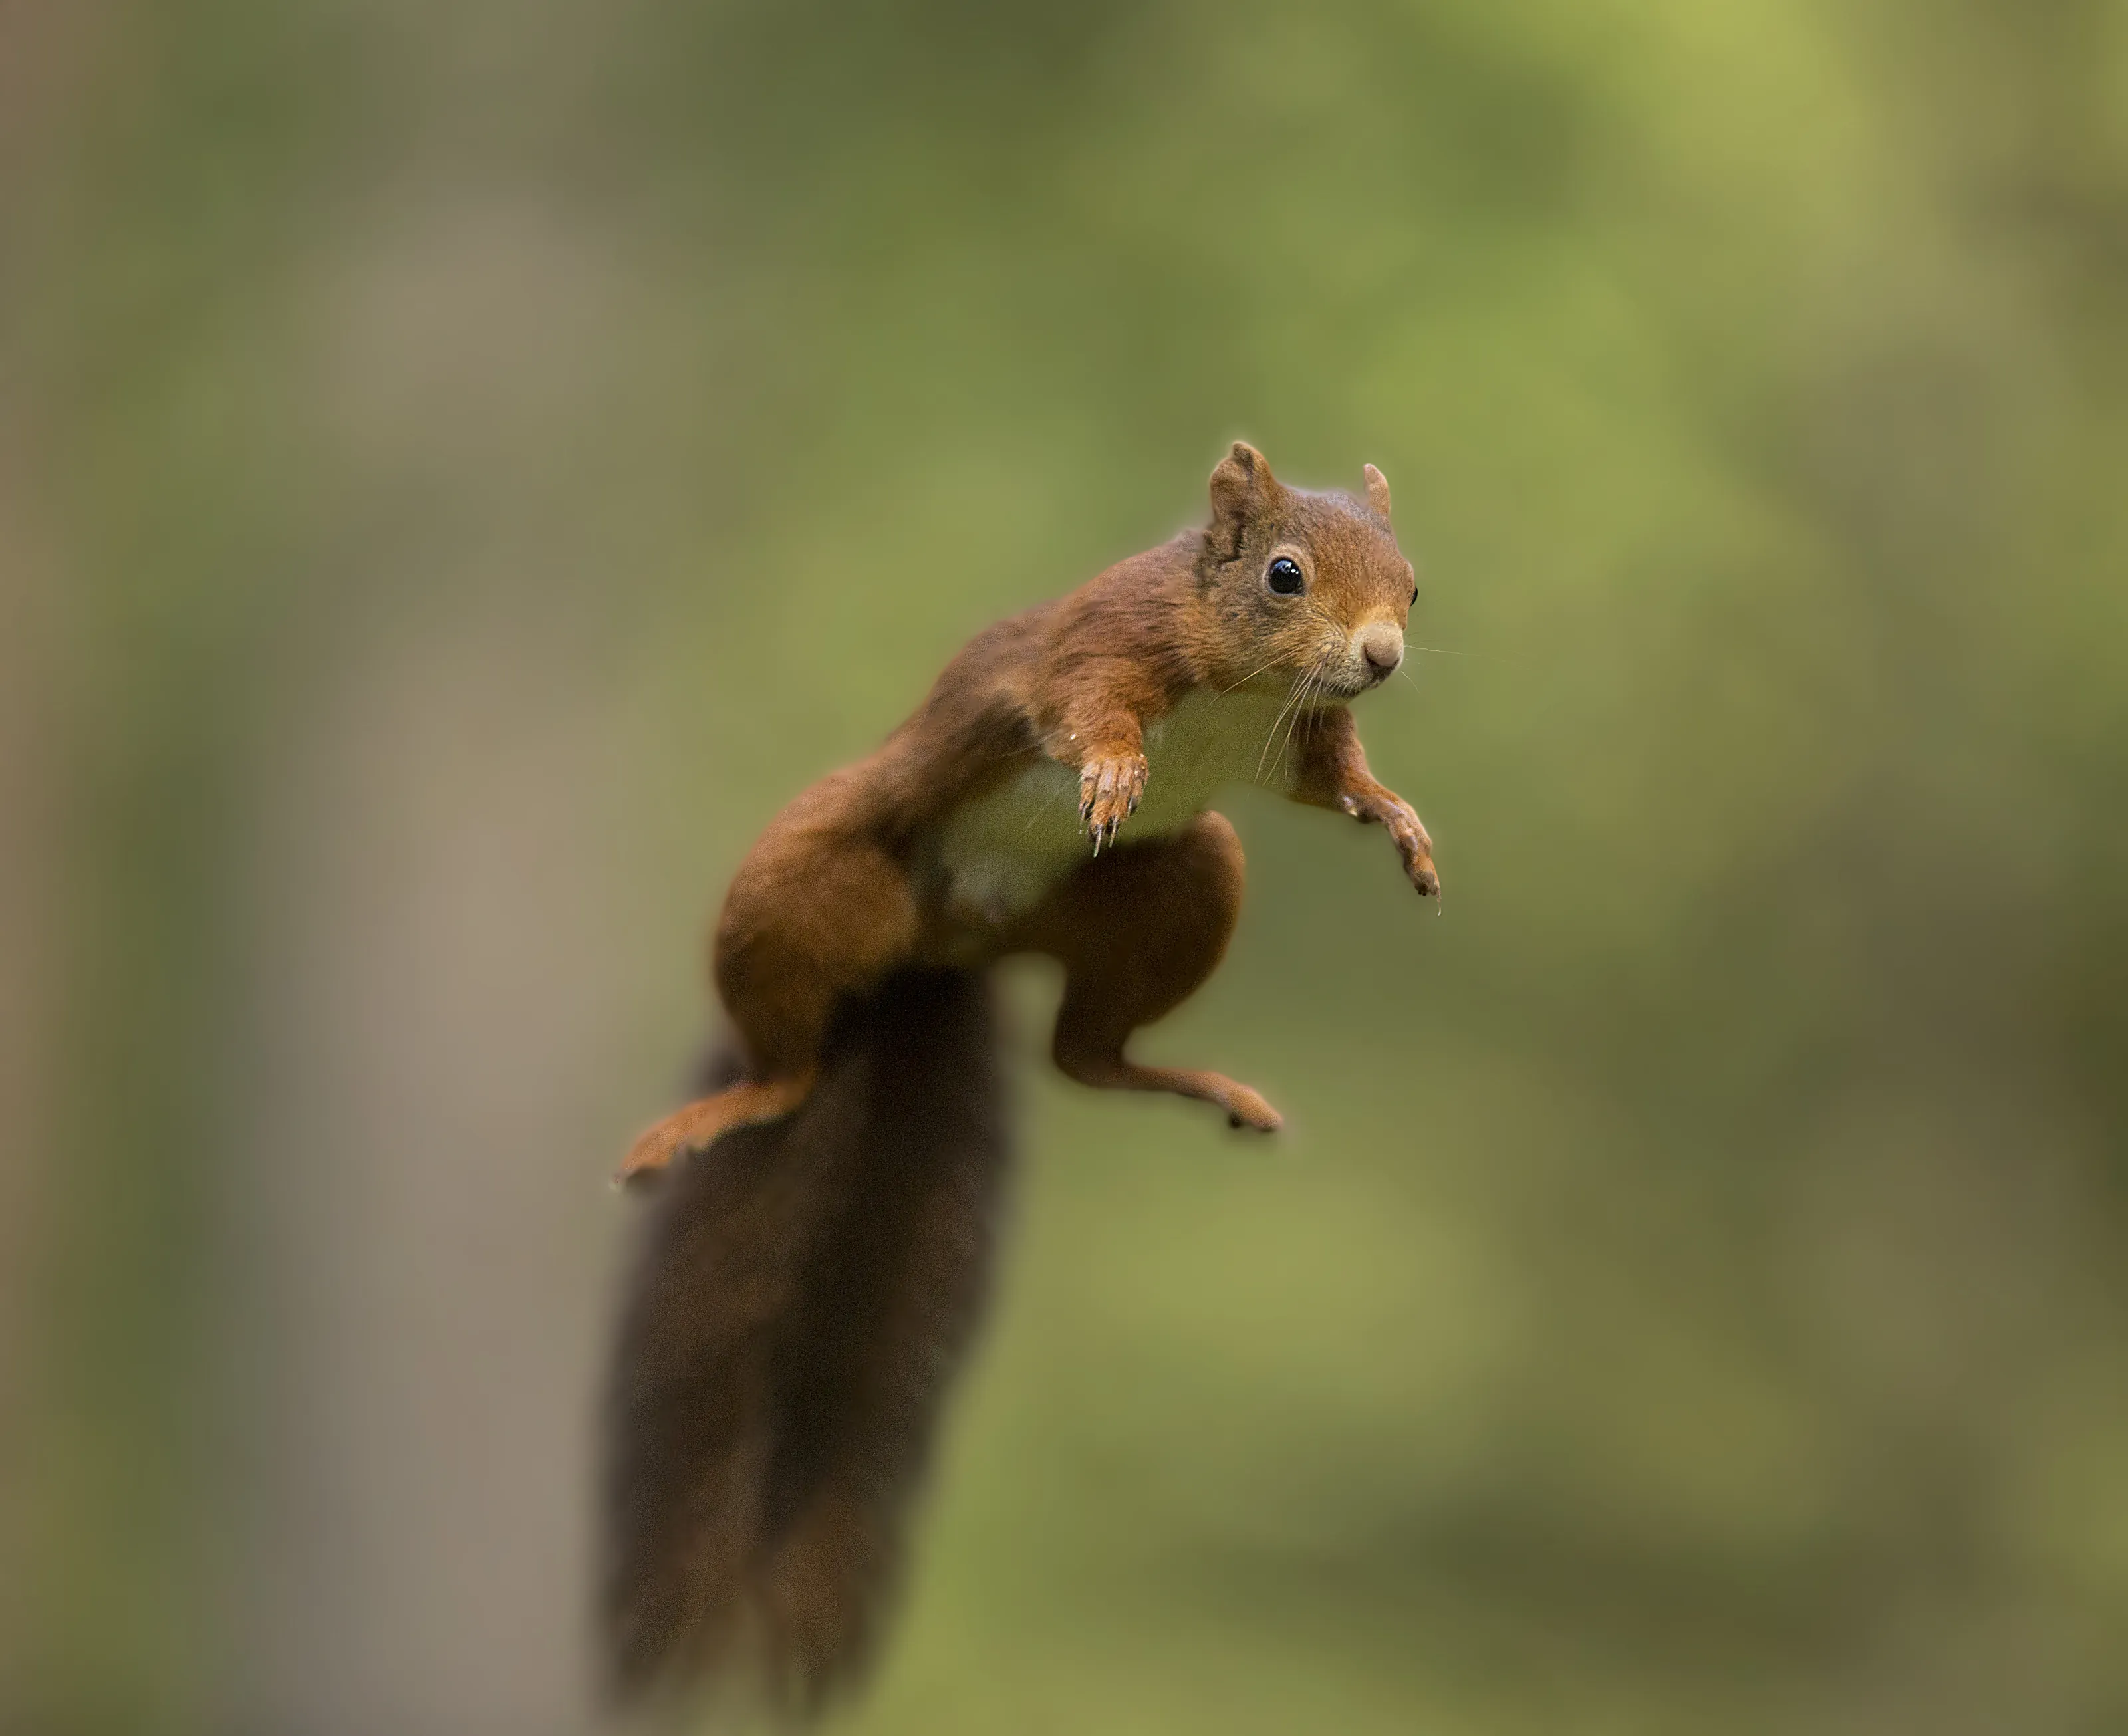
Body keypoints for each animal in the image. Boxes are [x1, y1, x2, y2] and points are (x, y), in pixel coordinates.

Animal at [601, 443, 1438, 1715]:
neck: (1241, 682)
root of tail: (946, 944)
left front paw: (1396, 815)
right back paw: (739, 1099)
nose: (1382, 656)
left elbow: (1333, 773)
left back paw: (1205, 1084)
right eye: (1286, 575)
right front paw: (1112, 768)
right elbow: (1088, 704)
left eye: (1414, 586)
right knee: (796, 1064)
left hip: (1183, 883)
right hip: (805, 875)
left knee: (1087, 1056)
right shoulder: (1099, 644)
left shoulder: (1299, 739)